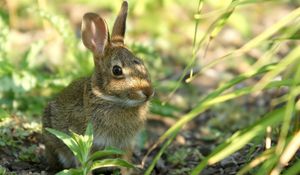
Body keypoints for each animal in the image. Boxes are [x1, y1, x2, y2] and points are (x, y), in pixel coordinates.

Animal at [41, 0, 154, 172]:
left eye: (141, 62)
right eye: (117, 70)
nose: (148, 92)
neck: (111, 99)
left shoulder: (126, 145)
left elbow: (125, 162)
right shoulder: (85, 141)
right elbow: (85, 163)